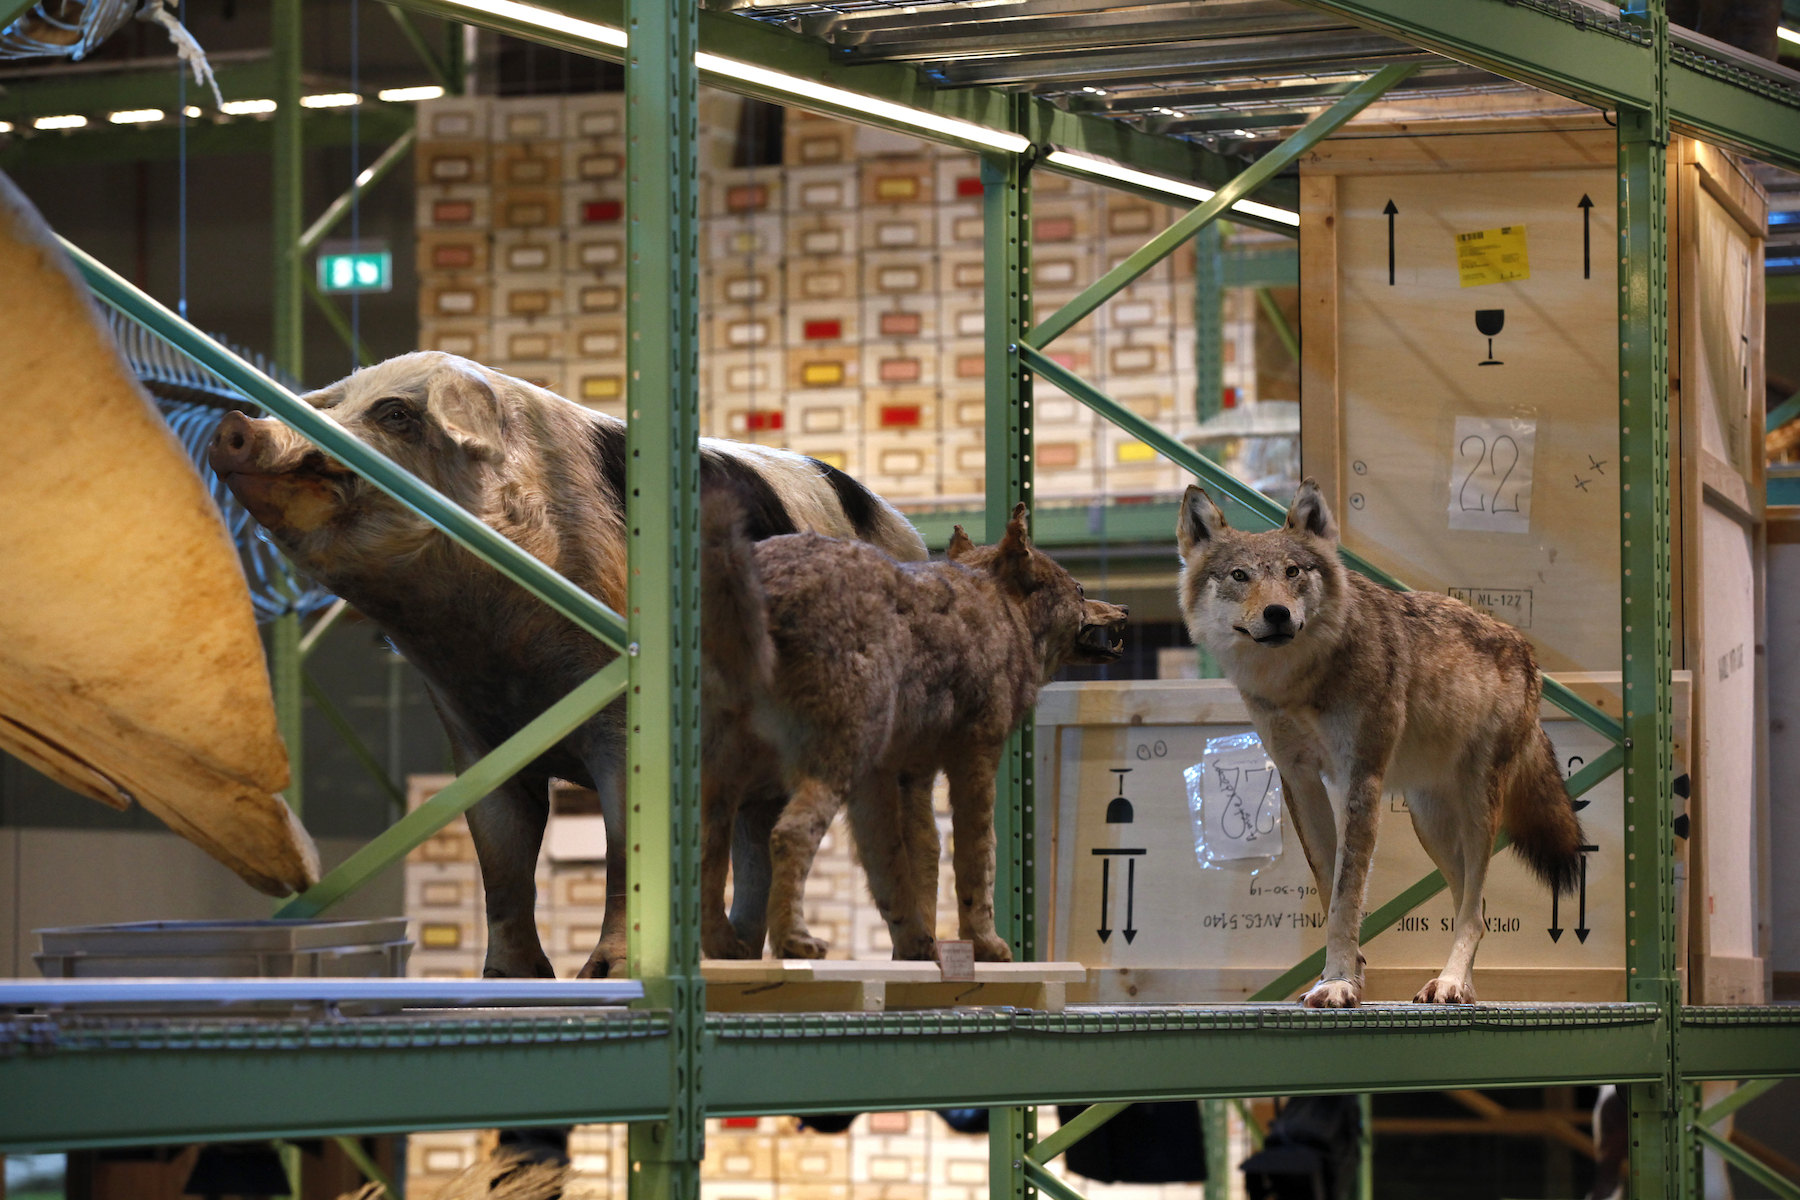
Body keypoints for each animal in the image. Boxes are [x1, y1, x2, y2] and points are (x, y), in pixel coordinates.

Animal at [210, 354, 928, 978]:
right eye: (330, 406)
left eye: (394, 415)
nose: (238, 426)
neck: (493, 653)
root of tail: (911, 534)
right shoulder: (473, 733)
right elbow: (501, 859)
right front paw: (504, 980)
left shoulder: (625, 722)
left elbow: (621, 855)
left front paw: (605, 974)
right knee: (757, 835)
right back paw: (739, 960)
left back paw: (912, 959)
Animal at [702, 503, 1123, 964]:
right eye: (1080, 590)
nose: (1123, 609)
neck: (1004, 612)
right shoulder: (976, 756)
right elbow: (977, 856)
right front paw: (986, 945)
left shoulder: (901, 777)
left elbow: (908, 861)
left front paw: (917, 947)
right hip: (829, 764)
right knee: (790, 834)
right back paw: (794, 942)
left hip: (732, 783)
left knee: (707, 849)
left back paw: (725, 946)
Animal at [1173, 478, 1584, 1007]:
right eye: (1240, 575)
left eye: (1292, 571)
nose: (1278, 613)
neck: (1297, 682)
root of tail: (1527, 652)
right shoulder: (1299, 780)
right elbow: (1329, 888)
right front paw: (1345, 974)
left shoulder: (1360, 778)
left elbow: (1347, 895)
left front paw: (1338, 982)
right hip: (1429, 825)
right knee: (1475, 906)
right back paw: (1461, 987)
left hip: (1478, 809)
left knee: (1474, 911)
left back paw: (1450, 981)